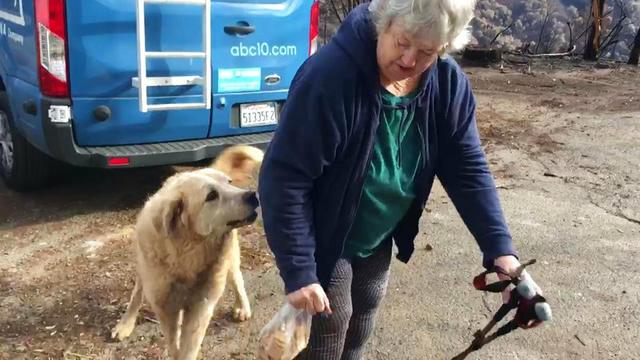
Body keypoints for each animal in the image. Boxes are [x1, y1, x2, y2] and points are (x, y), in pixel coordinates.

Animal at [113, 146, 264, 360]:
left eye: (229, 183)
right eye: (211, 196)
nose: (252, 195)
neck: (188, 253)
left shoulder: (201, 306)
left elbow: (188, 347)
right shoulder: (165, 308)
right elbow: (173, 342)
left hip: (229, 256)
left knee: (236, 277)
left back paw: (242, 306)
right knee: (138, 291)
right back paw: (126, 322)